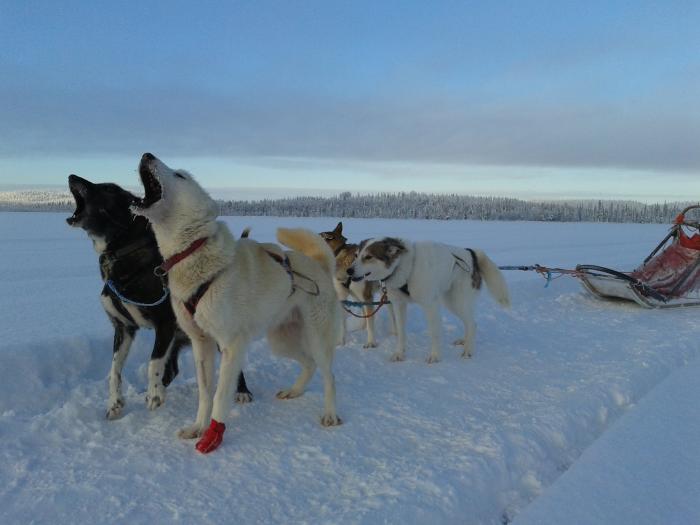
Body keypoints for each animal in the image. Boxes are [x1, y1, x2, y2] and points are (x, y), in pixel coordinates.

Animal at [67, 174, 253, 420]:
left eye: (109, 189)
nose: (72, 176)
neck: (122, 255)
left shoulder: (164, 324)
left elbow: (153, 362)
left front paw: (154, 394)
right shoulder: (124, 328)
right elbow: (114, 370)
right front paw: (115, 402)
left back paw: (241, 391)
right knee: (172, 368)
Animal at [133, 154, 344, 452]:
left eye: (179, 175)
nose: (146, 155)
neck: (193, 252)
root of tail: (321, 264)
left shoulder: (231, 346)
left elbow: (221, 395)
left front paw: (213, 437)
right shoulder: (201, 343)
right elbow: (205, 393)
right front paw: (198, 427)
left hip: (316, 338)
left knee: (329, 375)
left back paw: (330, 413)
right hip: (281, 340)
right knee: (309, 364)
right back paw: (294, 391)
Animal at [348, 236, 512, 362]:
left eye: (368, 257)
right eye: (356, 255)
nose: (349, 270)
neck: (405, 267)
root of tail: (470, 253)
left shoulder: (430, 305)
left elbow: (434, 332)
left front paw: (435, 356)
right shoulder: (399, 305)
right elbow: (401, 332)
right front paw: (399, 354)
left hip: (457, 301)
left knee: (472, 324)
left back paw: (468, 350)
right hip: (451, 302)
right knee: (470, 323)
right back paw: (464, 341)